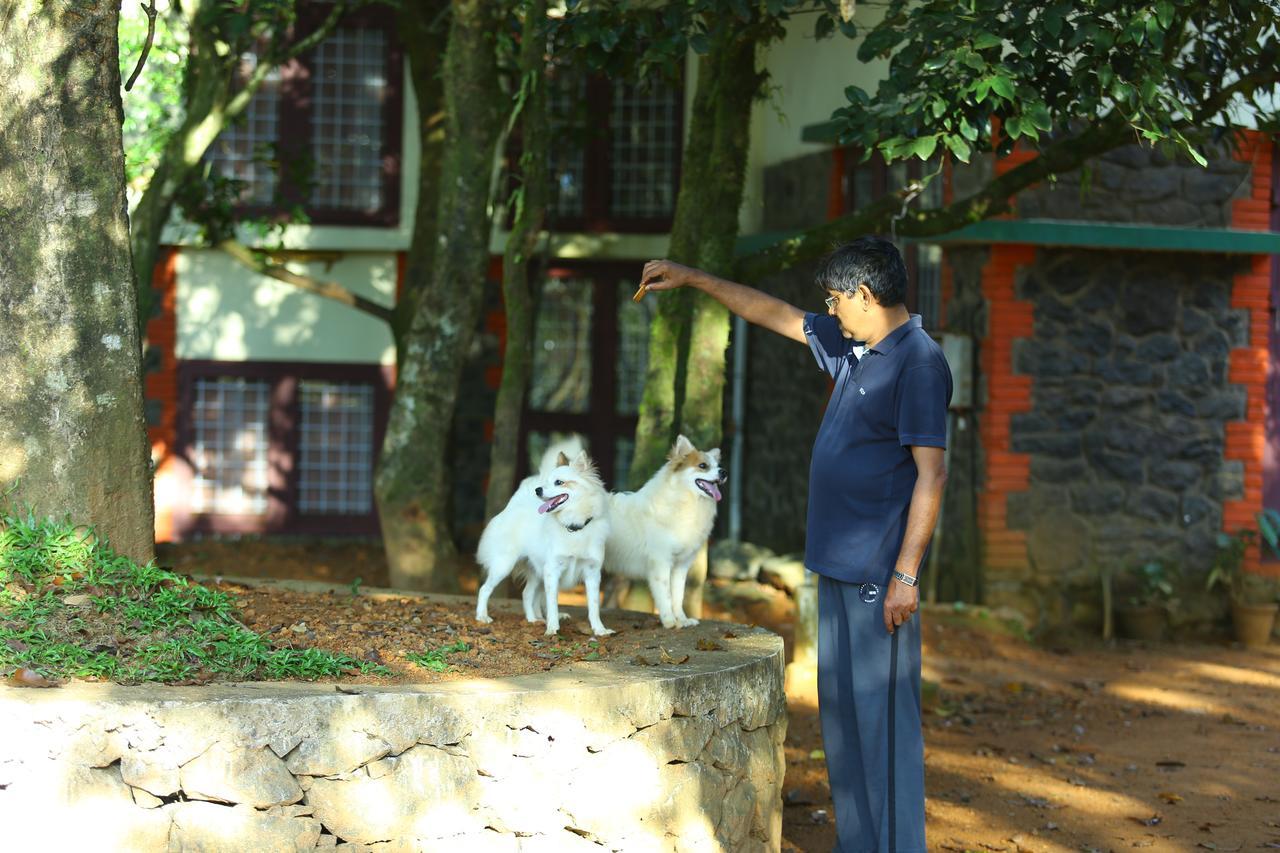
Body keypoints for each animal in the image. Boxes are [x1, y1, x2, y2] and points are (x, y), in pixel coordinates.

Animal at [476, 438, 614, 630]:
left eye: (559, 482)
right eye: (546, 483)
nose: (538, 490)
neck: (572, 526)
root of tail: (514, 505)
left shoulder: (592, 573)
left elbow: (593, 606)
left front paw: (599, 630)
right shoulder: (552, 569)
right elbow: (552, 603)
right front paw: (553, 628)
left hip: (536, 572)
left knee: (528, 594)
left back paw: (534, 619)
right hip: (503, 565)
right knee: (485, 589)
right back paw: (482, 616)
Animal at [604, 435, 727, 627]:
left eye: (718, 465)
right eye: (703, 465)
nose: (724, 472)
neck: (684, 501)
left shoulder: (681, 565)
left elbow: (678, 596)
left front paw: (682, 620)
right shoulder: (661, 563)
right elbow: (666, 596)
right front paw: (670, 621)